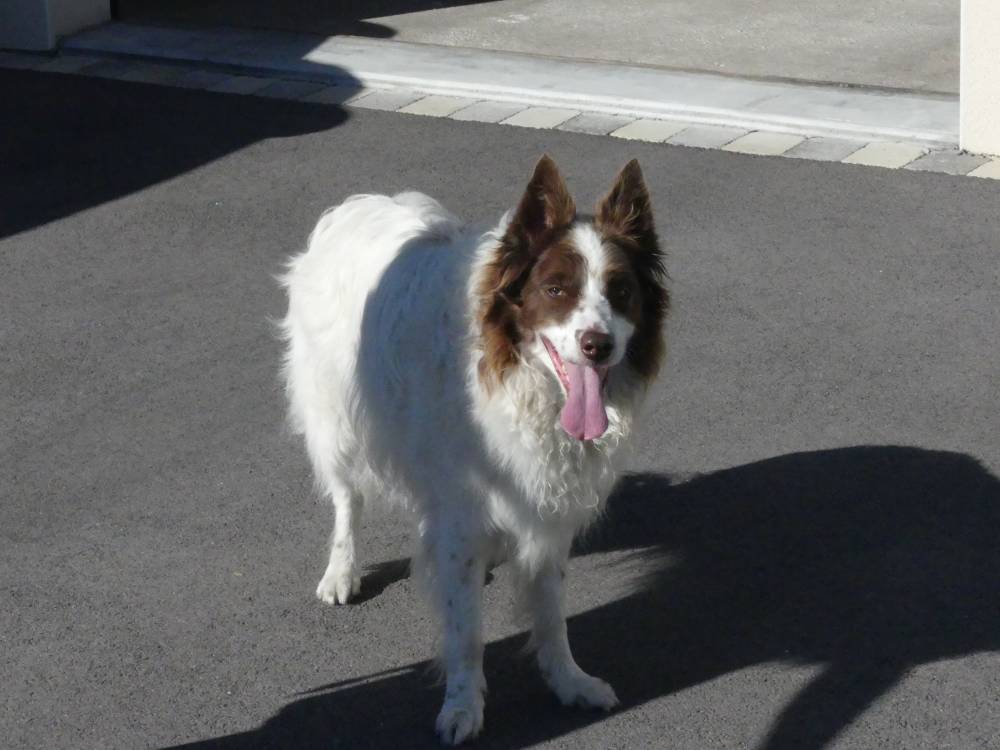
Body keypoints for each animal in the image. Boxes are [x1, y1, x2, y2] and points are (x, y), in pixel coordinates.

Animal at [282, 156, 668, 744]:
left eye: (622, 291)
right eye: (555, 290)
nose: (598, 346)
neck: (517, 383)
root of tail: (356, 205)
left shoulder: (545, 510)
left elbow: (551, 612)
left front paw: (568, 682)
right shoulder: (462, 509)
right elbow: (466, 632)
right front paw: (463, 707)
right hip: (337, 421)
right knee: (348, 498)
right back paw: (341, 572)